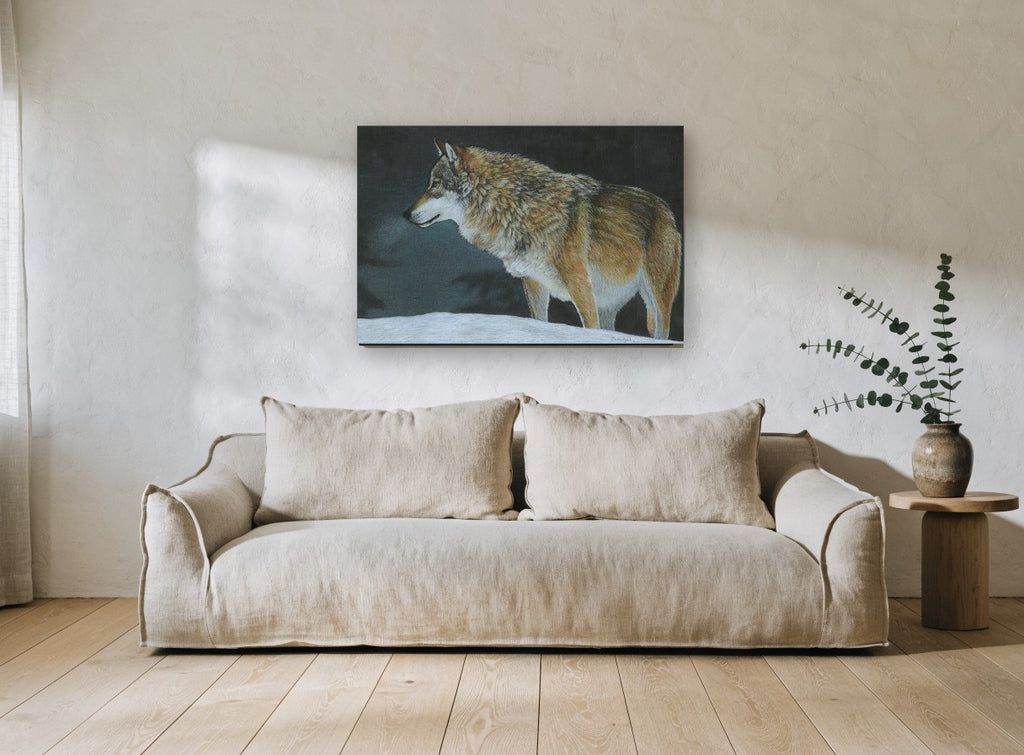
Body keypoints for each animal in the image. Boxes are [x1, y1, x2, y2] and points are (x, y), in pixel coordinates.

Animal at [403, 139, 681, 339]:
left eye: (434, 184)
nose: (405, 214)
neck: (516, 207)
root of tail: (666, 210)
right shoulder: (533, 282)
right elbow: (540, 321)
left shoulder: (579, 284)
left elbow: (588, 327)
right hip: (608, 303)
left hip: (656, 297)